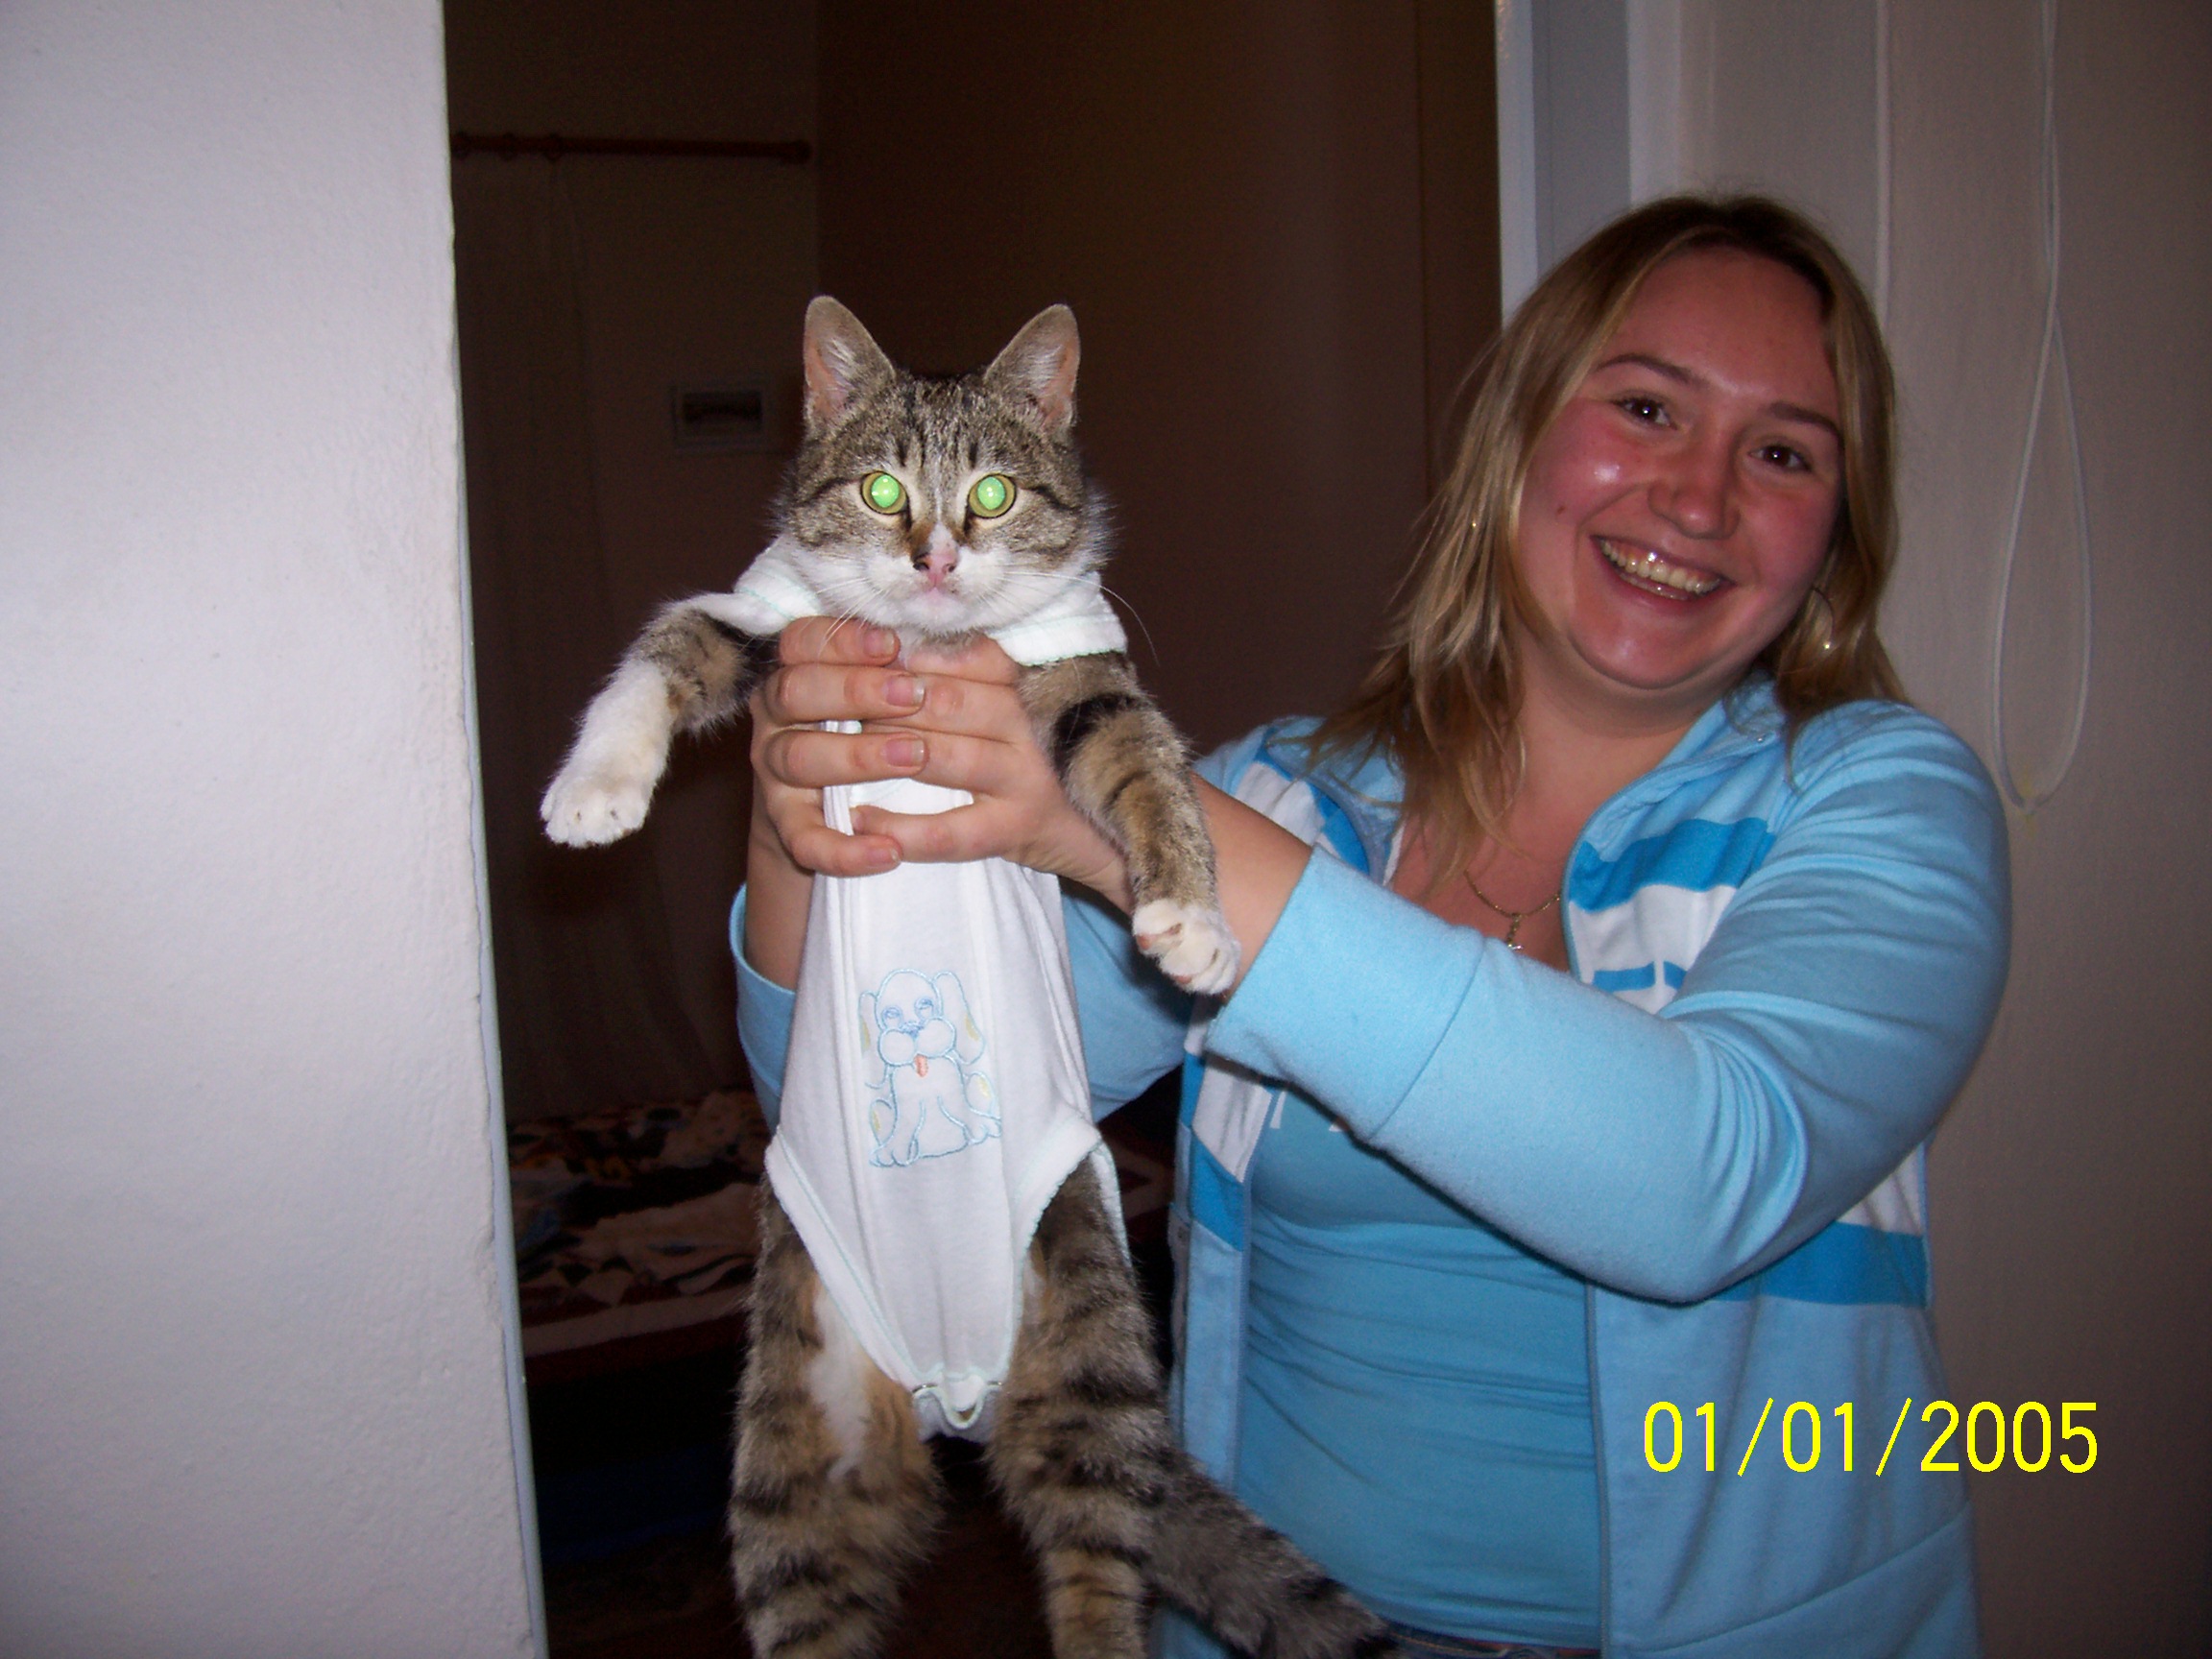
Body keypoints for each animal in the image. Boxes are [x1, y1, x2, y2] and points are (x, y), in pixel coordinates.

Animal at [541, 297, 1392, 1659]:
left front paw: (1194, 918)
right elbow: (672, 641)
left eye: (991, 493)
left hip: (1092, 1333)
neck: (935, 642)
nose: (937, 557)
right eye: (883, 488)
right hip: (793, 1446)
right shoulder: (777, 619)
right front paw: (593, 788)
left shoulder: (1078, 672)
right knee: (806, 1584)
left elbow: (1144, 760)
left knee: (1099, 1561)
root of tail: (956, 1390)